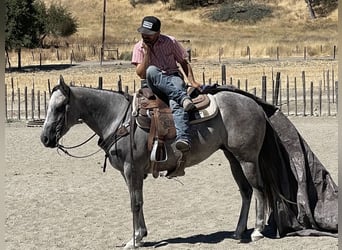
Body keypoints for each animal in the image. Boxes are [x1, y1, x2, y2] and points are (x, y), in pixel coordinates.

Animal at [41, 75, 278, 248]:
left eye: (60, 107)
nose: (45, 138)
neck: (118, 119)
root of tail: (255, 104)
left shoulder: (132, 169)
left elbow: (135, 203)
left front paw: (134, 240)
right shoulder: (129, 173)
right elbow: (138, 201)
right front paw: (140, 235)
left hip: (247, 159)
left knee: (259, 189)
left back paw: (257, 231)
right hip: (232, 158)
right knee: (246, 192)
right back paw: (238, 232)